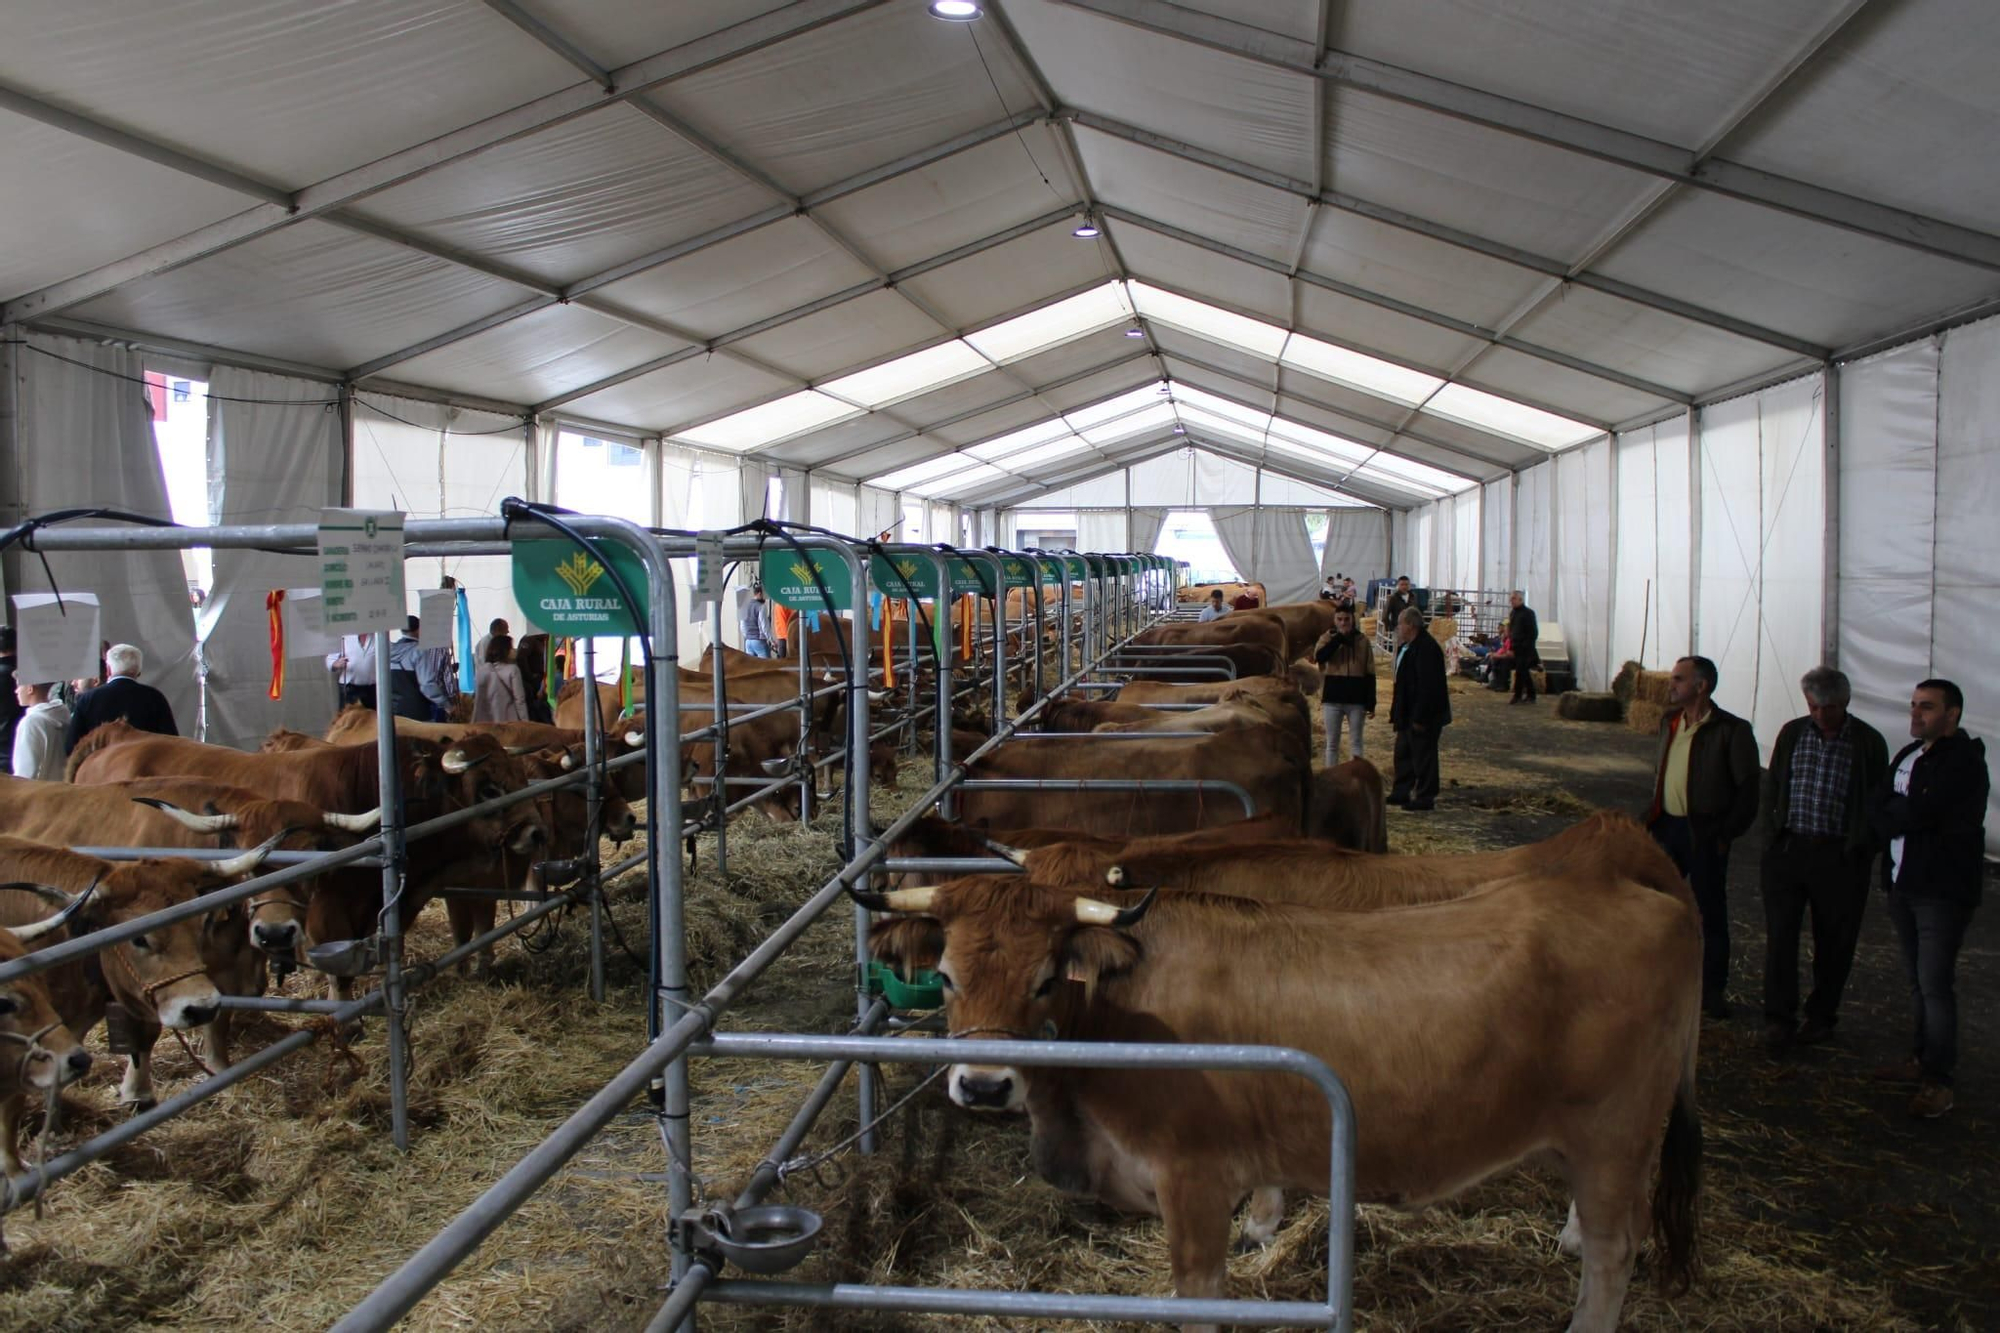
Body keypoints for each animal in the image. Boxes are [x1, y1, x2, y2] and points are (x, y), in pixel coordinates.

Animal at [864, 872, 1704, 1328]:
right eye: (945, 975)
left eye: (1044, 978)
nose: (982, 1084)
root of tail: (1655, 901)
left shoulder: (1193, 1173)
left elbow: (1199, 1292)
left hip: (1614, 1136)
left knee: (1615, 1251)